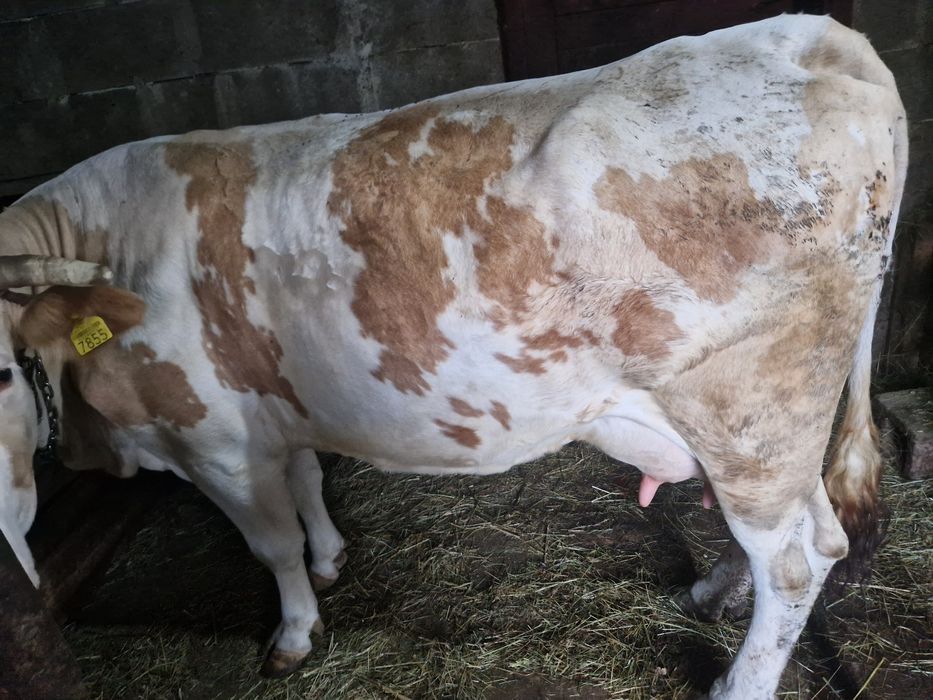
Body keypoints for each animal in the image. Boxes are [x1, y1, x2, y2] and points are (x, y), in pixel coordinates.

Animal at [0, 14, 906, 699]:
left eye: (3, 369)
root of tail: (807, 35)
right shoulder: (276, 405)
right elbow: (308, 482)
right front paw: (330, 559)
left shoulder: (213, 439)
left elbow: (271, 544)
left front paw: (294, 632)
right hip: (766, 425)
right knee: (796, 527)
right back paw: (712, 590)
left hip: (751, 406)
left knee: (795, 560)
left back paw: (735, 684)